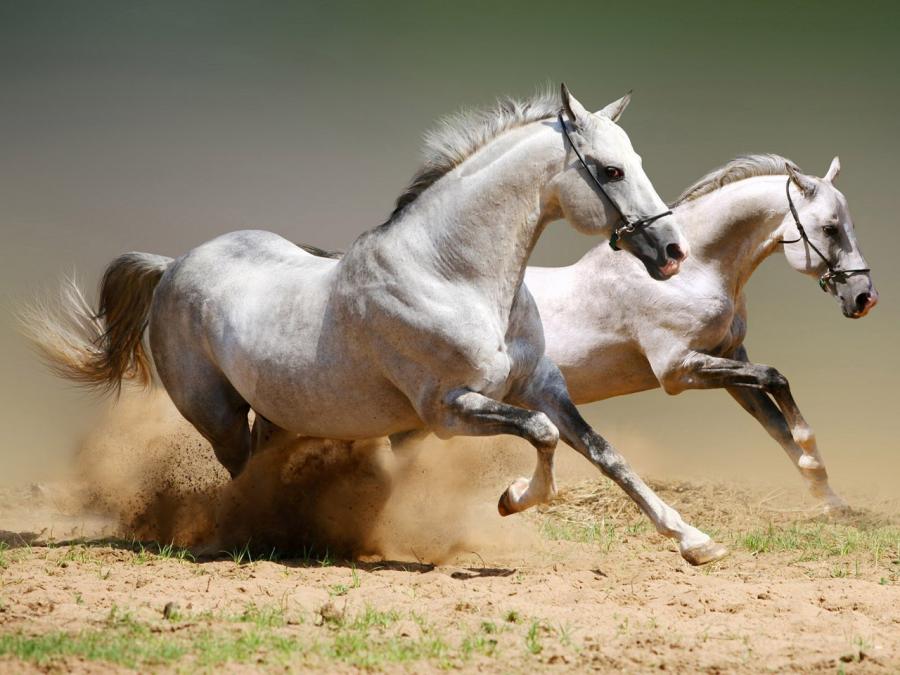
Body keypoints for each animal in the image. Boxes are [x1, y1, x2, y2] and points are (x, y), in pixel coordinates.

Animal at [22, 88, 732, 564]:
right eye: (610, 170)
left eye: (634, 159)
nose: (672, 252)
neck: (452, 275)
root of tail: (173, 265)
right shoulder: (448, 410)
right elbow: (542, 436)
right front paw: (511, 498)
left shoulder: (541, 386)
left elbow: (604, 453)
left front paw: (695, 541)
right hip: (216, 414)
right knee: (240, 473)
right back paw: (248, 535)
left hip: (279, 412)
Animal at [528, 154, 880, 512]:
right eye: (830, 229)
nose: (865, 297)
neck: (691, 273)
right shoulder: (677, 370)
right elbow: (775, 378)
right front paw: (812, 457)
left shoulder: (728, 359)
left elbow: (775, 423)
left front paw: (830, 498)